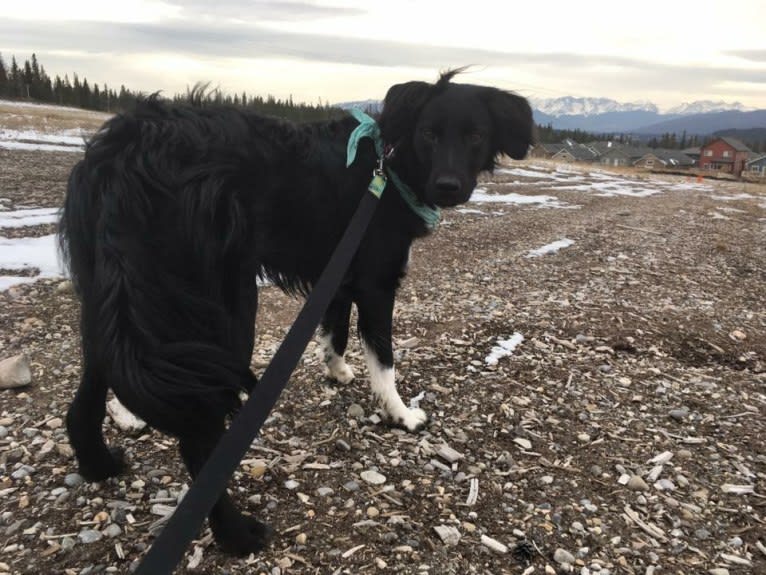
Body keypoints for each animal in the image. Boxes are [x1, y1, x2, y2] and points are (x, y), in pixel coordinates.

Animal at [60, 70, 536, 556]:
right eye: (429, 134)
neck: (389, 165)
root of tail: (126, 148)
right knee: (196, 439)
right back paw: (236, 534)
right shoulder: (377, 284)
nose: (448, 186)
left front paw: (337, 371)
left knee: (85, 398)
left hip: (115, 299)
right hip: (220, 310)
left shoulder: (341, 273)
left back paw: (98, 464)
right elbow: (383, 358)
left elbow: (336, 330)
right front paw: (401, 414)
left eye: (476, 135)